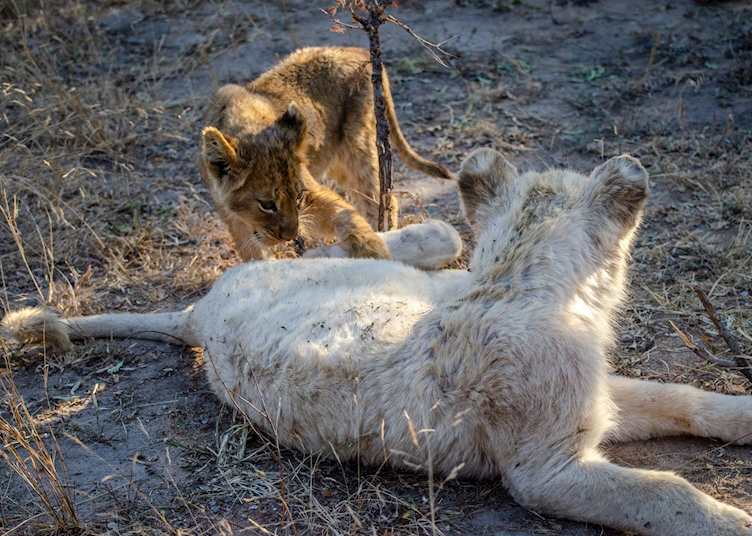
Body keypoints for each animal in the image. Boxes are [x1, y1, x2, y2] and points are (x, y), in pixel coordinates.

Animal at [5, 150, 751, 535]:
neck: (513, 278)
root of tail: (199, 316)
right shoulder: (543, 471)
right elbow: (664, 495)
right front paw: (731, 520)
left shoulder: (595, 404)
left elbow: (682, 398)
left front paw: (742, 416)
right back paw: (427, 232)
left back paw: (432, 233)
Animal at [200, 46, 454, 261]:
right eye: (267, 204)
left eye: (298, 196)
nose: (290, 236)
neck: (247, 126)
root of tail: (357, 50)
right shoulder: (234, 222)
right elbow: (254, 256)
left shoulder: (312, 193)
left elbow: (345, 215)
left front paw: (376, 250)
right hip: (339, 163)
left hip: (358, 150)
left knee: (381, 200)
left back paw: (384, 232)